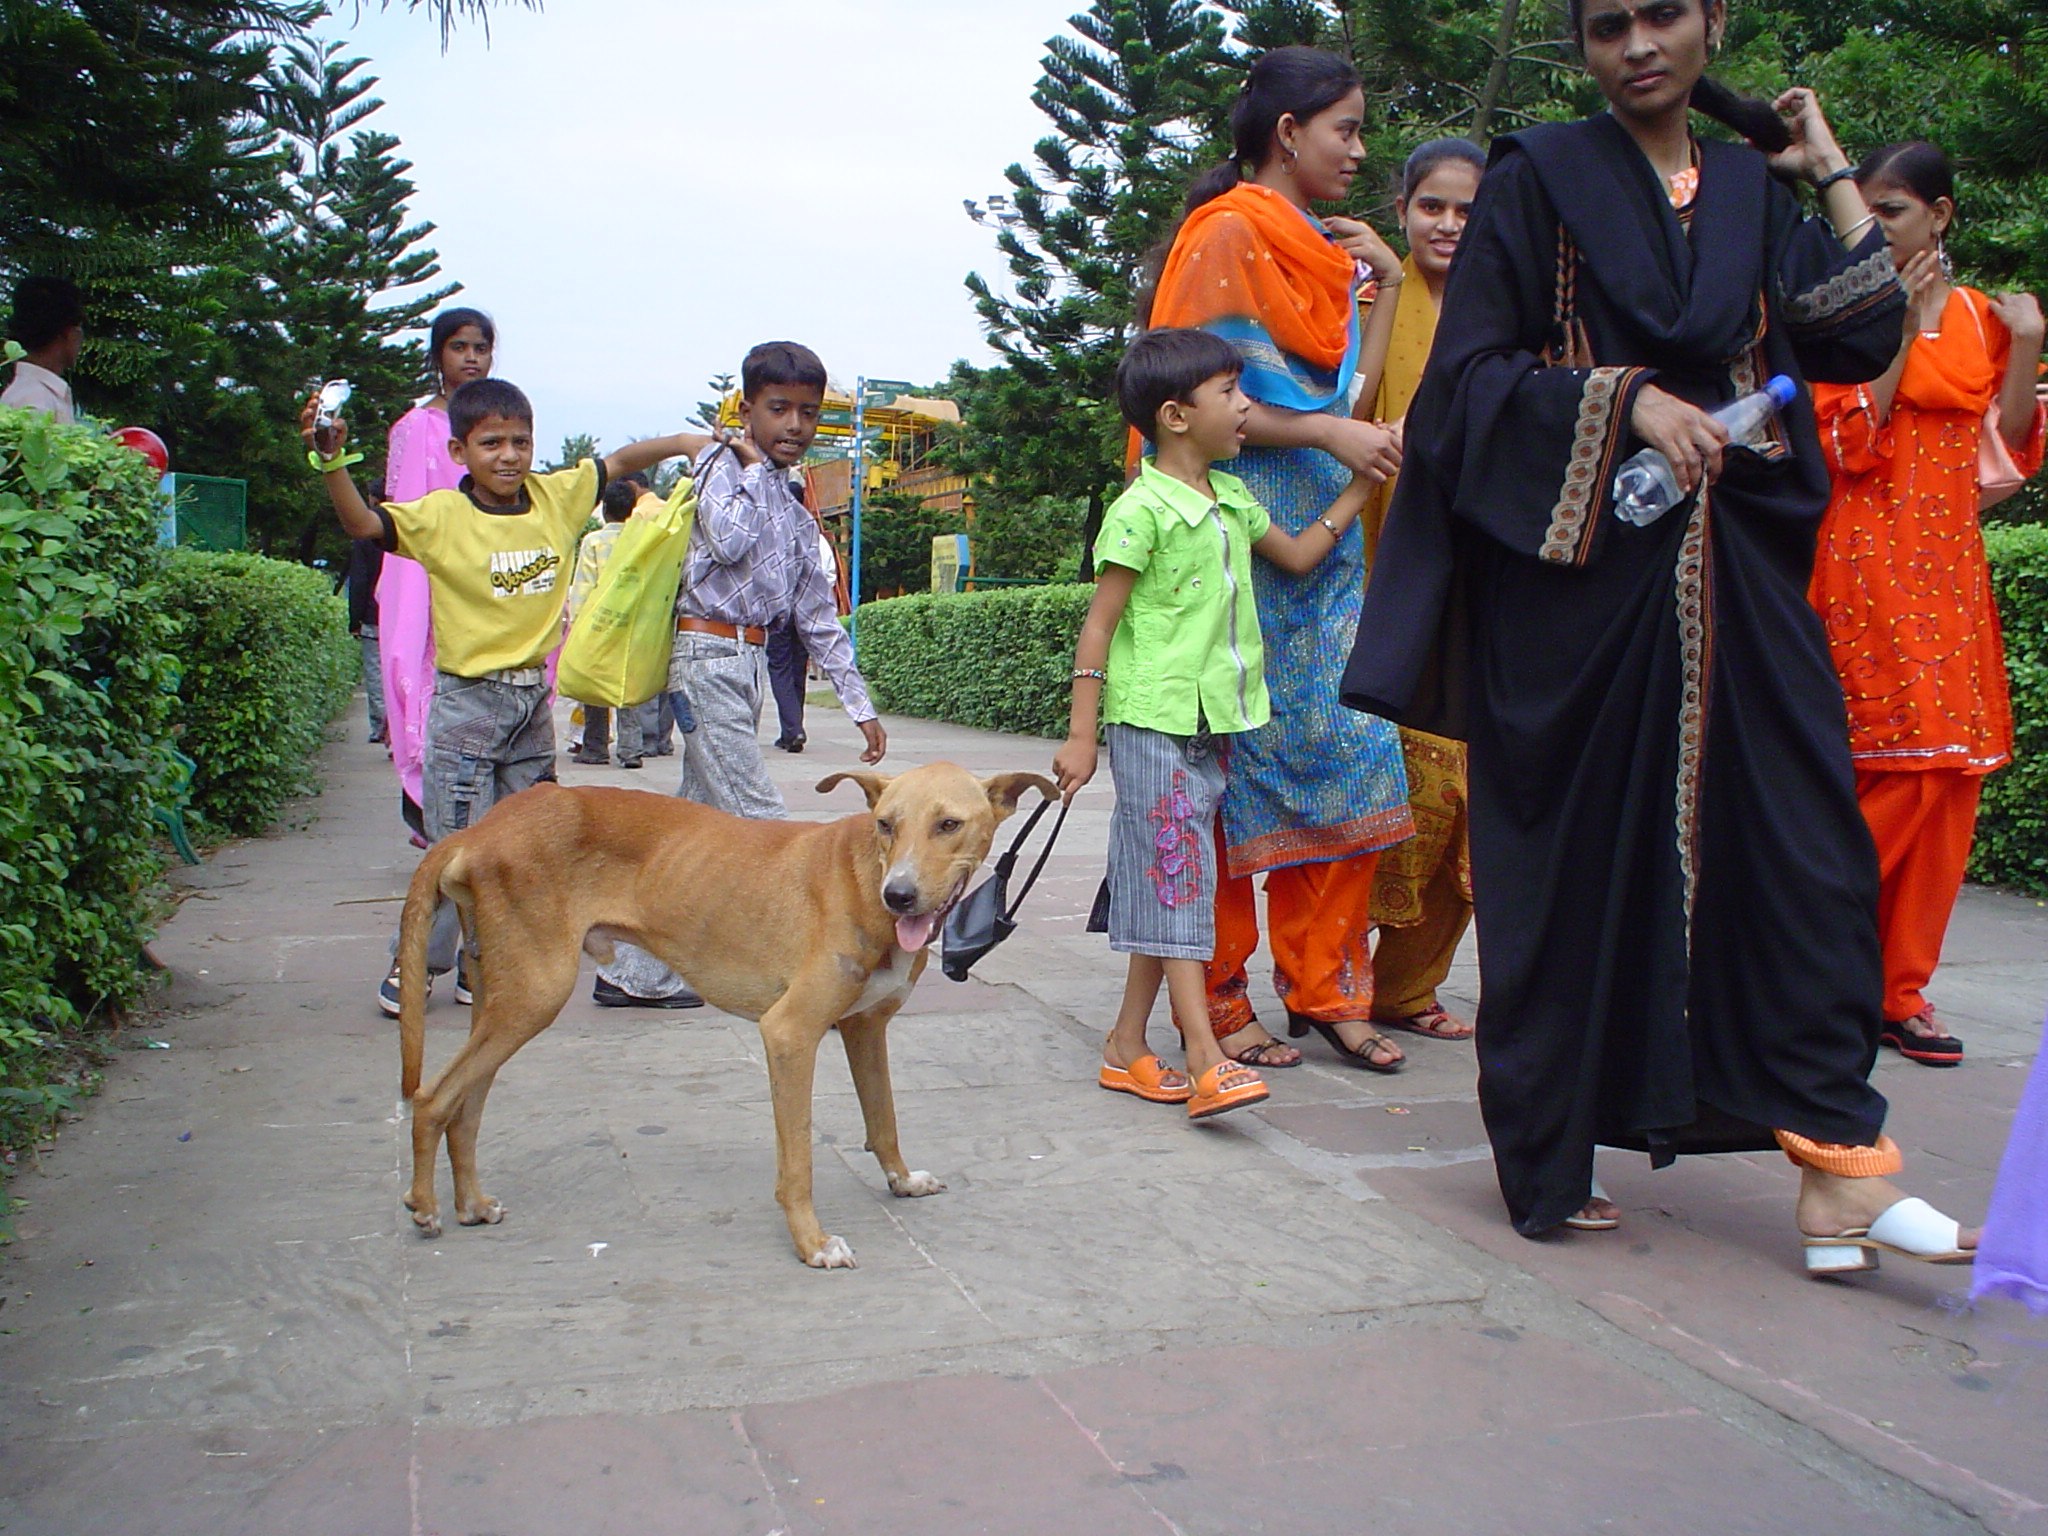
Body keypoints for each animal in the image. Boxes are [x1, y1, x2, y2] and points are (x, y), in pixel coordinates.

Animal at [395, 765, 1056, 1269]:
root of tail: (480, 828)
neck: (863, 874)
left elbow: (884, 1120)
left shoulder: (867, 1029)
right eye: (885, 825)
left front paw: (901, 1180)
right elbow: (799, 1160)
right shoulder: (789, 1034)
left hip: (503, 997)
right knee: (431, 1098)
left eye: (949, 824)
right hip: (534, 995)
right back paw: (425, 1206)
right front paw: (812, 1243)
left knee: (465, 1110)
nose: (900, 896)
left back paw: (472, 1203)